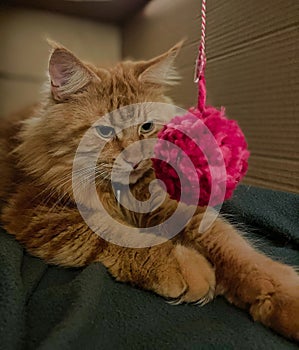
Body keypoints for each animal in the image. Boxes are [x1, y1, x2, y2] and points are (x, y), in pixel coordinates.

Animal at [0, 41, 299, 342]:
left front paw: (283, 297)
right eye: (105, 131)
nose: (135, 160)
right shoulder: (37, 212)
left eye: (146, 127)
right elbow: (119, 236)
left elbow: (234, 247)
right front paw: (187, 268)